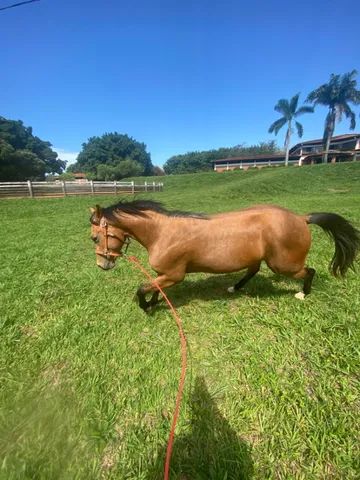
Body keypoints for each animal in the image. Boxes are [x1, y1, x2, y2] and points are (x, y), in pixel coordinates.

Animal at [88, 199, 358, 312]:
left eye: (94, 238)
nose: (102, 265)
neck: (162, 232)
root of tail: (302, 218)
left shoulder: (174, 275)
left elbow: (142, 288)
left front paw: (146, 307)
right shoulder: (163, 274)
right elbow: (154, 287)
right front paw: (154, 303)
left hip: (284, 265)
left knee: (309, 271)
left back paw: (303, 293)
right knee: (252, 271)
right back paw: (234, 288)